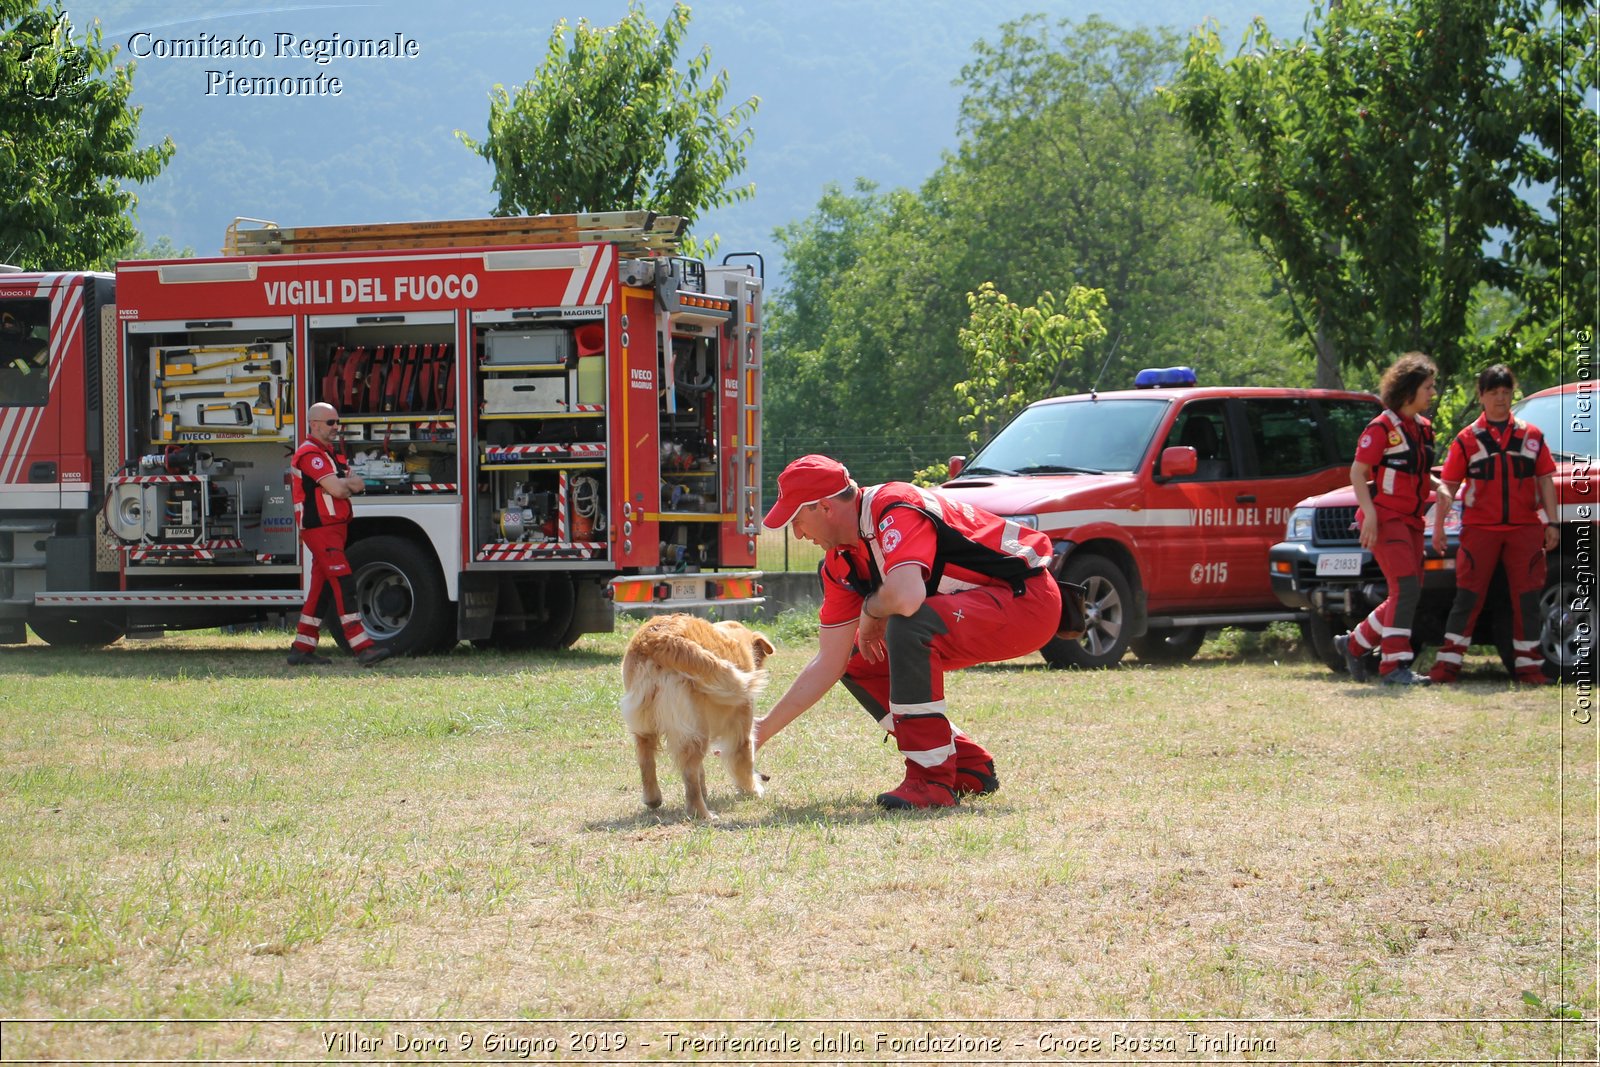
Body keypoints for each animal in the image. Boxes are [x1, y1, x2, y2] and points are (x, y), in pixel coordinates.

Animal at [617, 614, 774, 825]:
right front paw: (752, 790)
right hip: (696, 727)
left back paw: (653, 799)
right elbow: (744, 759)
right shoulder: (742, 722)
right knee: (689, 773)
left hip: (645, 724)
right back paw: (702, 813)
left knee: (646, 760)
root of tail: (657, 639)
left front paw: (706, 790)